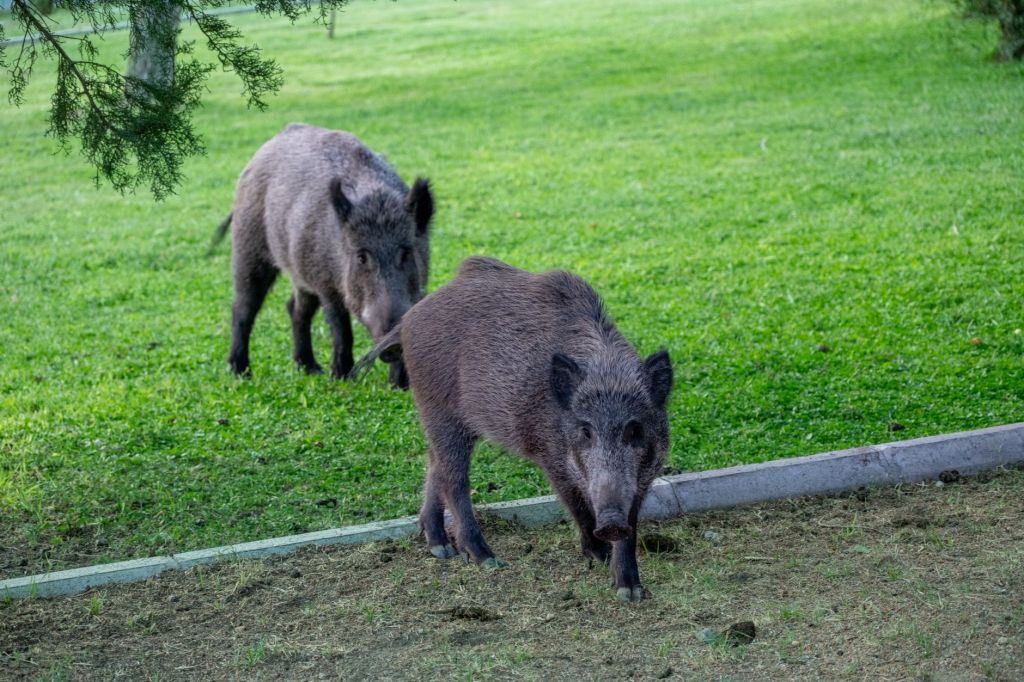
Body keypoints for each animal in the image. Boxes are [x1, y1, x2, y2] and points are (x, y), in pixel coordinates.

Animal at [211, 123, 434, 386]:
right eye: (361, 257)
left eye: (406, 253)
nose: (391, 345)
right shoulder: (326, 284)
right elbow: (341, 328)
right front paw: (342, 378)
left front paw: (399, 386)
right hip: (248, 250)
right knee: (243, 308)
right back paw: (241, 373)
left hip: (299, 272)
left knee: (295, 308)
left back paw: (310, 369)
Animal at [353, 256, 673, 601]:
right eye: (586, 431)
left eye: (635, 429)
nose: (611, 521)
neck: (607, 375)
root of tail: (408, 318)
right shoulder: (550, 456)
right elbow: (577, 505)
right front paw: (599, 557)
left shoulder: (643, 475)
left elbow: (632, 525)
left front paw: (631, 592)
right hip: (439, 411)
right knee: (454, 479)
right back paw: (486, 559)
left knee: (434, 465)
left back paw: (441, 549)